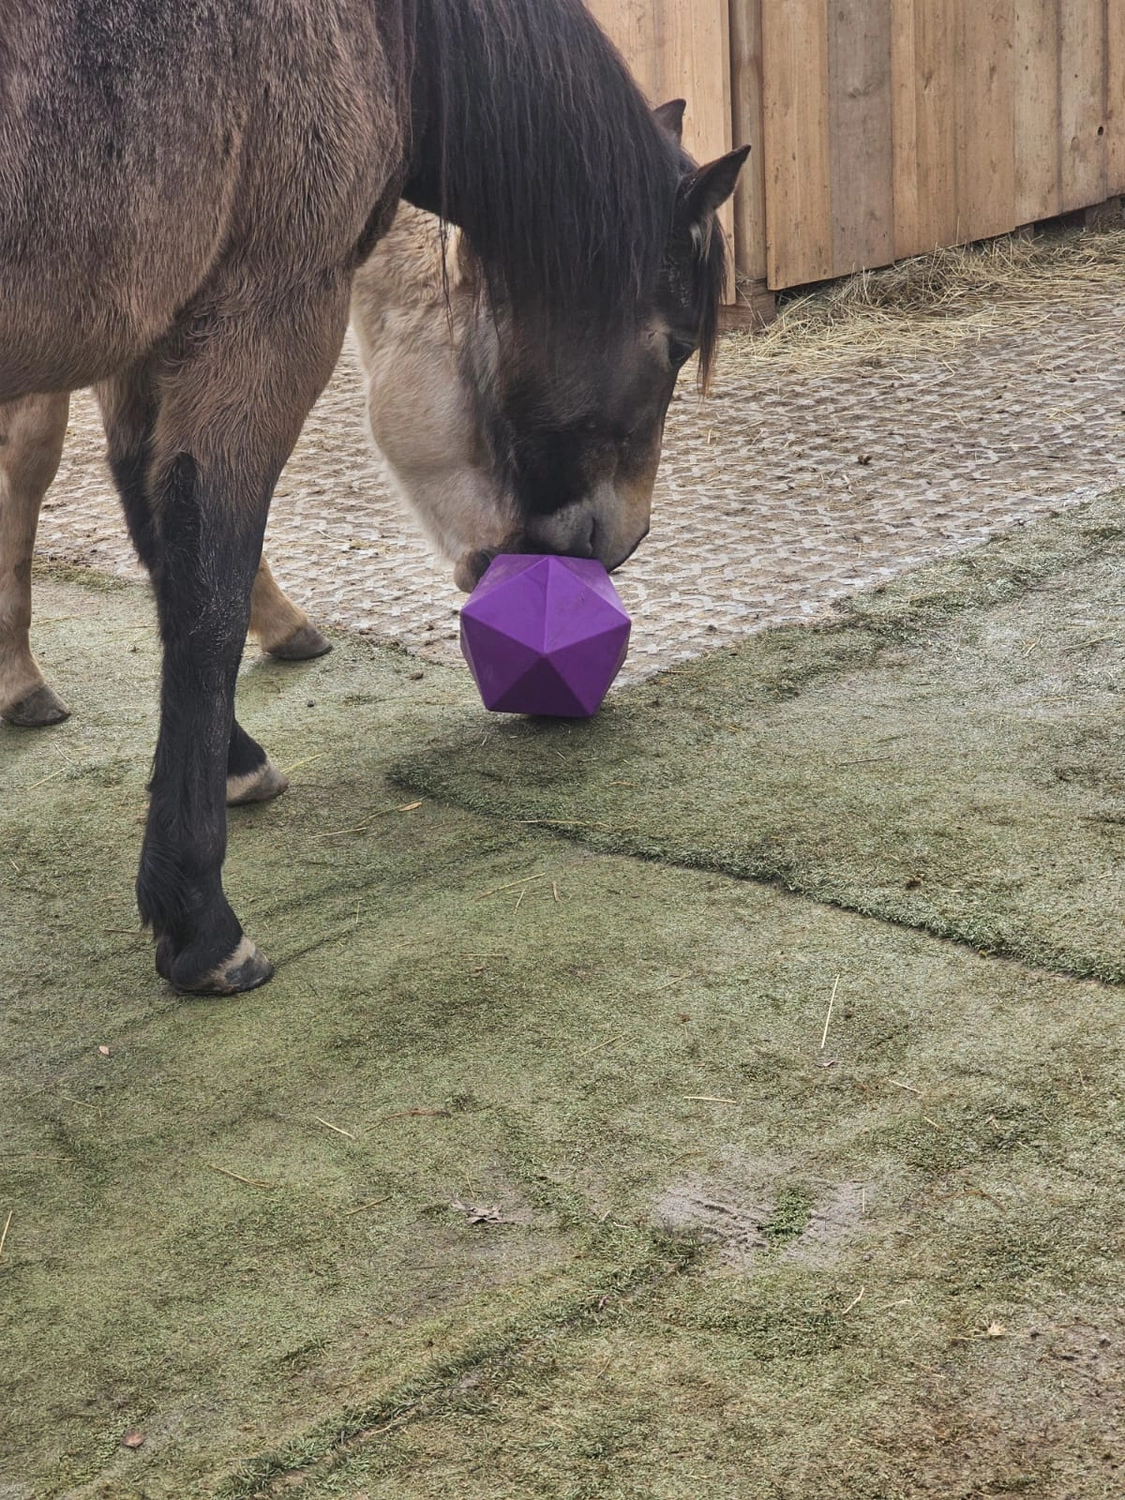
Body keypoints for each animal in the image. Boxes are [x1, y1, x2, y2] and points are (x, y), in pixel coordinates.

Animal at [1, 0, 746, 995]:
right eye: (674, 342)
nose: (621, 539)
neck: (392, 37)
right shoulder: (261, 314)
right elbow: (206, 581)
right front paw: (198, 916)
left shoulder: (148, 333)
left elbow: (156, 537)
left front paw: (235, 760)